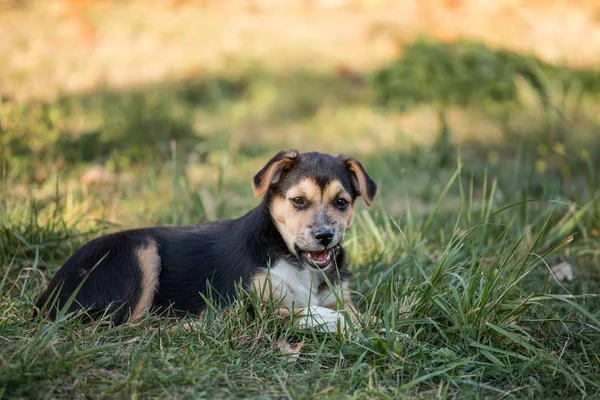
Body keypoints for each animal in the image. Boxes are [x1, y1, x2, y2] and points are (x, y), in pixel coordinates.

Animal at [35, 148, 378, 330]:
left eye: (341, 202)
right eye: (298, 201)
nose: (325, 236)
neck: (293, 258)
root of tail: (45, 299)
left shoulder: (338, 296)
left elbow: (362, 314)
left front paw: (377, 327)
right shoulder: (235, 308)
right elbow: (289, 310)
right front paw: (331, 320)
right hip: (138, 249)